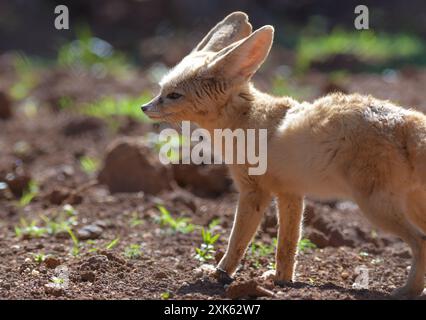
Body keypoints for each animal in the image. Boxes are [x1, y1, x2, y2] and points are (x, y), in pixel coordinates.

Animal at [142, 12, 426, 298]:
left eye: (173, 95)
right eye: (160, 91)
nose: (144, 107)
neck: (246, 119)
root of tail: (410, 121)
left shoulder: (254, 192)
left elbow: (238, 241)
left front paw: (219, 274)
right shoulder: (291, 193)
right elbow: (287, 245)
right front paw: (282, 281)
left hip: (376, 207)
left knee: (421, 242)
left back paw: (407, 291)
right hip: (409, 208)